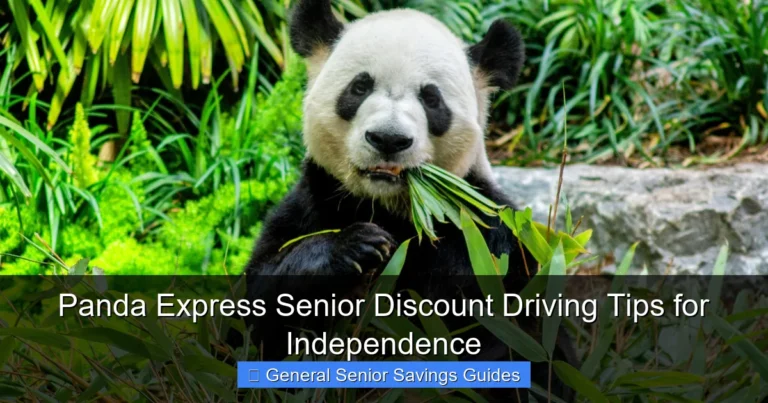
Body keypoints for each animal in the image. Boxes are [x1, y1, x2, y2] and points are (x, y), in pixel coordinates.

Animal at [244, 1, 575, 400]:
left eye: (431, 99)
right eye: (359, 86)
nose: (388, 139)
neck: (394, 209)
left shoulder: (489, 236)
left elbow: (528, 341)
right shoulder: (315, 201)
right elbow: (262, 302)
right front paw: (357, 246)